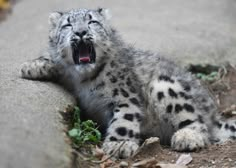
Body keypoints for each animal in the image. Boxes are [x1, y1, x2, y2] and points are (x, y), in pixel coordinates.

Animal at [20, 7, 236, 159]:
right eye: (67, 25)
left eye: (92, 21)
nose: (80, 32)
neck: (82, 79)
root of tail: (213, 113)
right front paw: (32, 66)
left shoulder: (124, 96)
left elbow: (124, 118)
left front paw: (119, 144)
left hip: (165, 86)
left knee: (199, 123)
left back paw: (187, 137)